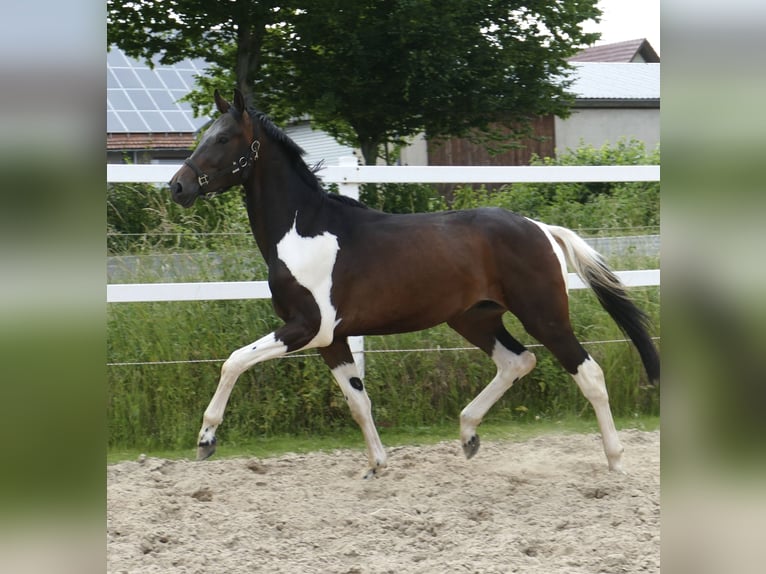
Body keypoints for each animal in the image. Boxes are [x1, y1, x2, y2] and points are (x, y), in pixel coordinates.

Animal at [169, 89, 659, 478]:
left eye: (223, 138)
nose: (178, 186)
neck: (301, 230)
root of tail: (541, 228)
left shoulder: (308, 327)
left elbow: (233, 361)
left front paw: (206, 440)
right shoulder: (331, 339)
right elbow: (357, 400)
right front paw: (376, 466)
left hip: (543, 314)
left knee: (587, 372)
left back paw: (615, 461)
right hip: (474, 318)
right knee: (517, 361)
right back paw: (468, 435)